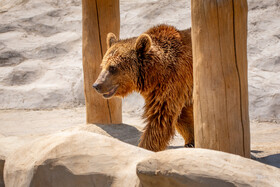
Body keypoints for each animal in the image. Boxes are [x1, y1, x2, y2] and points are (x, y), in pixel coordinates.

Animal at [93, 24, 194, 152]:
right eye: (102, 66)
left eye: (113, 68)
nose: (96, 85)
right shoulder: (177, 89)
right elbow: (182, 116)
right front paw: (191, 141)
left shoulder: (172, 83)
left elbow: (160, 118)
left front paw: (145, 147)